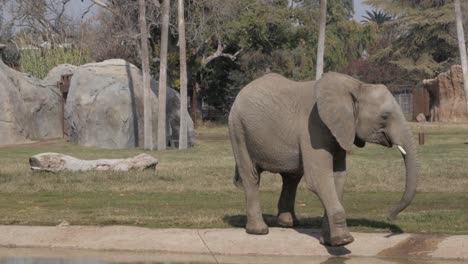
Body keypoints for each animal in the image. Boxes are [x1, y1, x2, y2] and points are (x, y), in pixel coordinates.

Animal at [229, 71, 418, 248]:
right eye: (385, 116)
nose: (389, 216)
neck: (356, 86)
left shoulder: (340, 130)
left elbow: (338, 178)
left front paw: (328, 241)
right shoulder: (313, 128)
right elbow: (319, 179)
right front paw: (344, 241)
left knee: (292, 178)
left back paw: (288, 223)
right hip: (238, 130)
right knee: (251, 176)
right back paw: (259, 231)